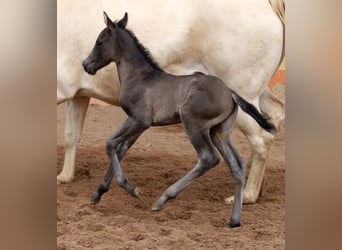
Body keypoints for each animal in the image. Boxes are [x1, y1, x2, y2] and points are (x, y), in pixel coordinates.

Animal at [57, 0, 284, 205]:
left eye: (99, 42)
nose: (86, 64)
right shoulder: (85, 98)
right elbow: (79, 137)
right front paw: (73, 180)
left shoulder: (136, 119)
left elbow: (112, 144)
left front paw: (128, 188)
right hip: (240, 111)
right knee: (274, 118)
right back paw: (251, 188)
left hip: (224, 108)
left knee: (255, 141)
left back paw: (246, 196)